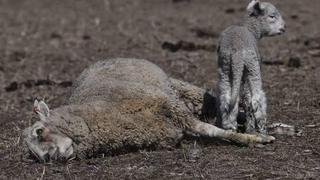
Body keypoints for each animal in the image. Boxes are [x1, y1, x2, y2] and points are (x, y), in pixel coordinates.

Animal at [22, 58, 274, 162]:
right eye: (36, 156)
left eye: (38, 131)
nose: (49, 158)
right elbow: (209, 130)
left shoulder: (173, 108)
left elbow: (214, 130)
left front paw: (254, 138)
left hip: (178, 89)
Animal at [216, 0, 286, 134]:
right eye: (272, 16)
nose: (284, 28)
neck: (250, 29)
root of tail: (236, 51)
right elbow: (248, 98)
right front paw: (251, 127)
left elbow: (244, 98)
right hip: (252, 67)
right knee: (256, 99)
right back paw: (262, 129)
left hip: (225, 68)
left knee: (227, 97)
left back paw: (229, 126)